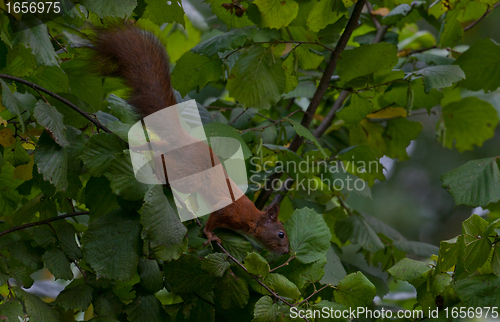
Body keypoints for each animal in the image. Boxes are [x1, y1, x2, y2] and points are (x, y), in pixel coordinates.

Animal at [90, 24, 290, 254]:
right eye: (280, 234)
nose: (286, 251)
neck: (253, 218)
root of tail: (184, 140)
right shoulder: (229, 210)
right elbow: (215, 218)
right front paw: (210, 235)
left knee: (160, 146)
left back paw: (143, 146)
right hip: (189, 173)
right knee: (168, 166)